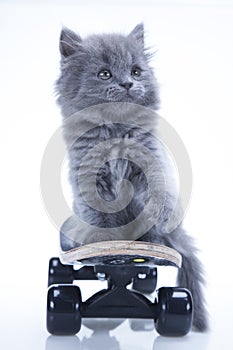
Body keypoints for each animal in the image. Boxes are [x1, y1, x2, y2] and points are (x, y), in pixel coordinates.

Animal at [56, 23, 208, 330]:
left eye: (136, 71)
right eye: (104, 73)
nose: (127, 83)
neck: (115, 131)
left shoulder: (150, 164)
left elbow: (160, 194)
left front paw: (161, 221)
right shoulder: (90, 177)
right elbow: (100, 219)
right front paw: (106, 248)